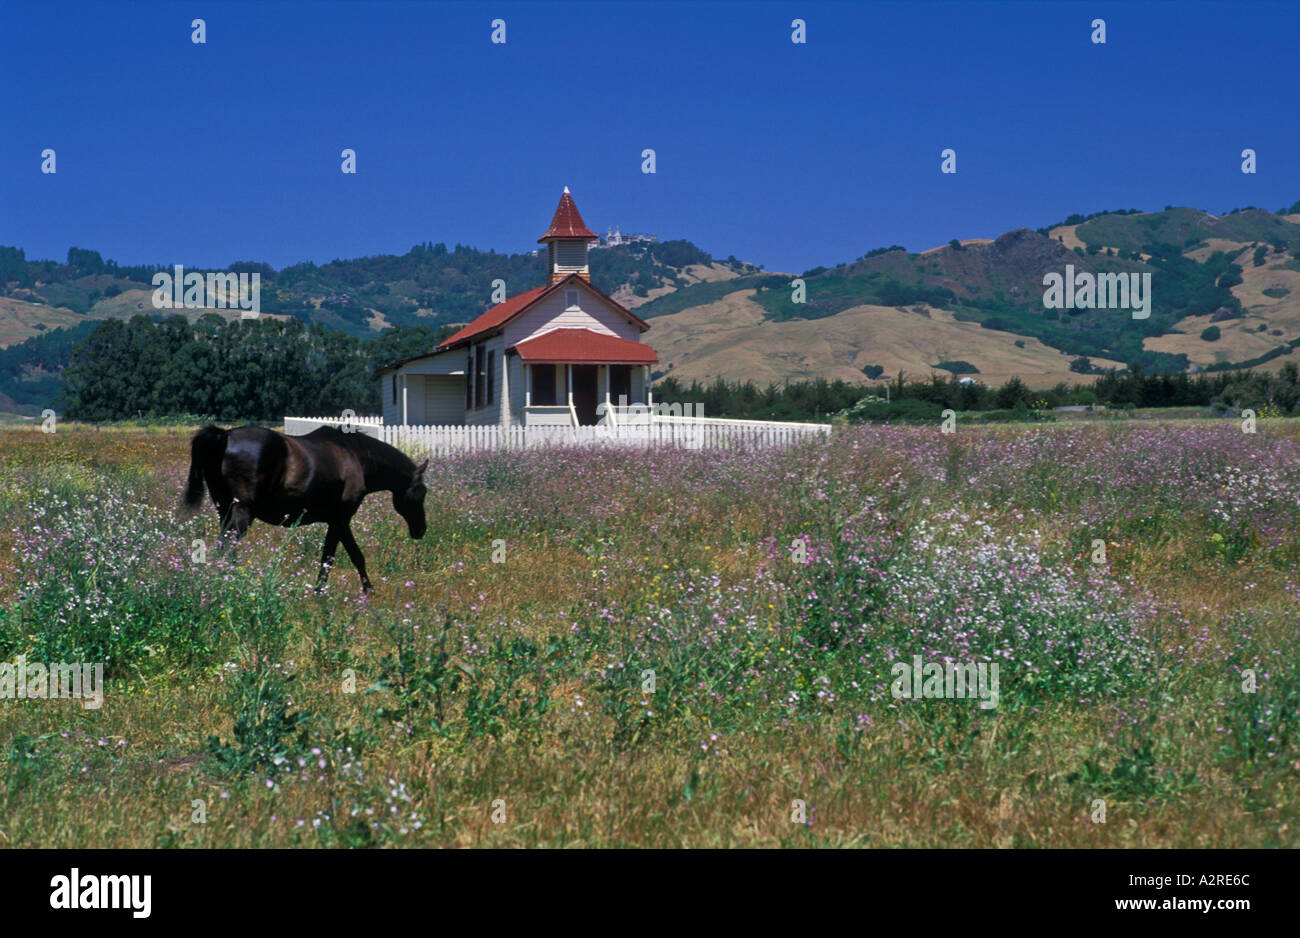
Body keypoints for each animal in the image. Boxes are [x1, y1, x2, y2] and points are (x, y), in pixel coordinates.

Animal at [182, 424, 427, 592]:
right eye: (422, 492)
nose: (421, 530)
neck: (355, 455)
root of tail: (224, 436)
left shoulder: (335, 521)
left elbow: (332, 556)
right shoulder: (341, 520)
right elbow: (348, 556)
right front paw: (365, 590)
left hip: (223, 510)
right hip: (242, 513)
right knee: (227, 545)